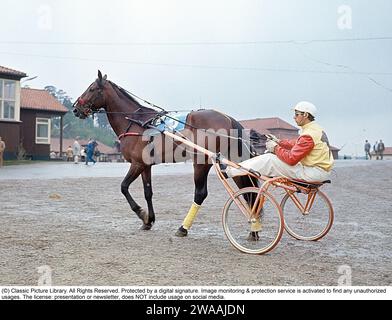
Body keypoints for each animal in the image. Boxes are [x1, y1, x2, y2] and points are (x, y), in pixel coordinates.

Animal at [73, 72, 258, 238]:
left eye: (92, 89)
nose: (76, 108)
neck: (137, 122)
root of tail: (227, 118)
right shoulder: (145, 165)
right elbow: (148, 192)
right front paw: (148, 220)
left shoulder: (137, 163)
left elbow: (124, 187)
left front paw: (141, 213)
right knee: (247, 190)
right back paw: (254, 230)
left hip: (202, 161)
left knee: (201, 193)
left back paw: (183, 228)